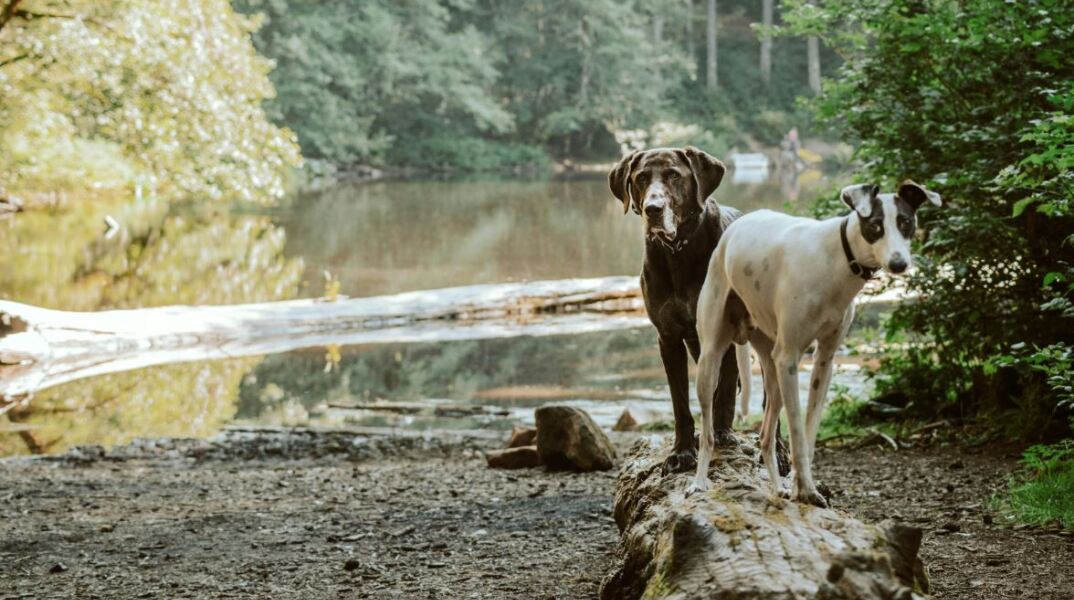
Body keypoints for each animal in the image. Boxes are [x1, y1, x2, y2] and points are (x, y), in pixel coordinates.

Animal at [687, 179, 940, 506]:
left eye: (906, 222)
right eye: (875, 226)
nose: (899, 263)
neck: (836, 260)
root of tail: (734, 228)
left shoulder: (824, 360)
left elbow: (808, 434)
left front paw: (802, 487)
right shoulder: (790, 358)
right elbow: (796, 431)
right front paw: (806, 490)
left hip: (772, 372)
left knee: (766, 436)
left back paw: (778, 487)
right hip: (711, 362)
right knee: (707, 433)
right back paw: (699, 482)